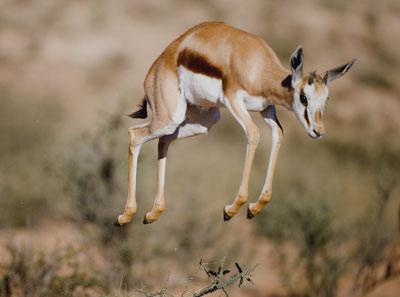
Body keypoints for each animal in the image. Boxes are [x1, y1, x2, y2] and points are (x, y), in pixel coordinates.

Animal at [114, 21, 354, 224]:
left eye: (326, 99)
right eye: (304, 97)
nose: (318, 130)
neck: (258, 66)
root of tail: (160, 63)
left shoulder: (267, 109)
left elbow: (278, 134)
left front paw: (255, 207)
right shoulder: (234, 101)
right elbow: (254, 134)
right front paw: (231, 209)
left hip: (204, 120)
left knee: (162, 142)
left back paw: (153, 213)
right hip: (169, 118)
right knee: (135, 135)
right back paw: (125, 216)